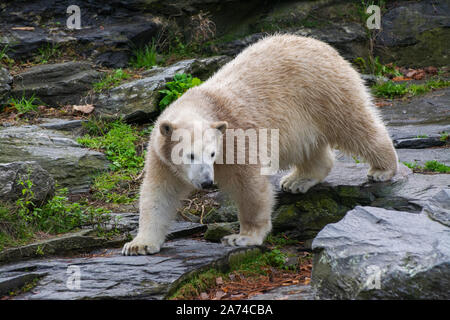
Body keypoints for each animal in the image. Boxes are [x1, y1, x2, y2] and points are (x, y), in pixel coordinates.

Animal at [120, 34, 398, 255]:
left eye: (212, 154)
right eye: (189, 155)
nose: (207, 182)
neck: (204, 102)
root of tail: (323, 46)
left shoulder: (236, 140)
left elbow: (249, 186)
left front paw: (242, 237)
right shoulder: (161, 155)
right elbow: (159, 193)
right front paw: (139, 245)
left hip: (324, 91)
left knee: (354, 125)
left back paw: (382, 168)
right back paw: (297, 180)